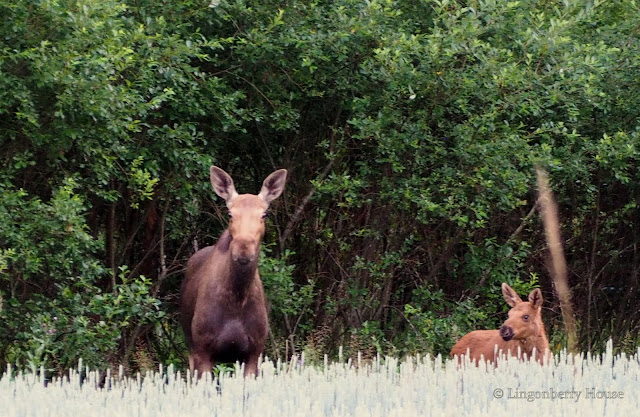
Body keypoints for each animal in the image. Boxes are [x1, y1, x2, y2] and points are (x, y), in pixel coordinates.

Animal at [179, 166, 286, 376]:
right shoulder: (202, 350)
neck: (236, 301)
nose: (243, 249)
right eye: (230, 213)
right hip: (190, 346)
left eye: (264, 214)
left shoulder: (254, 352)